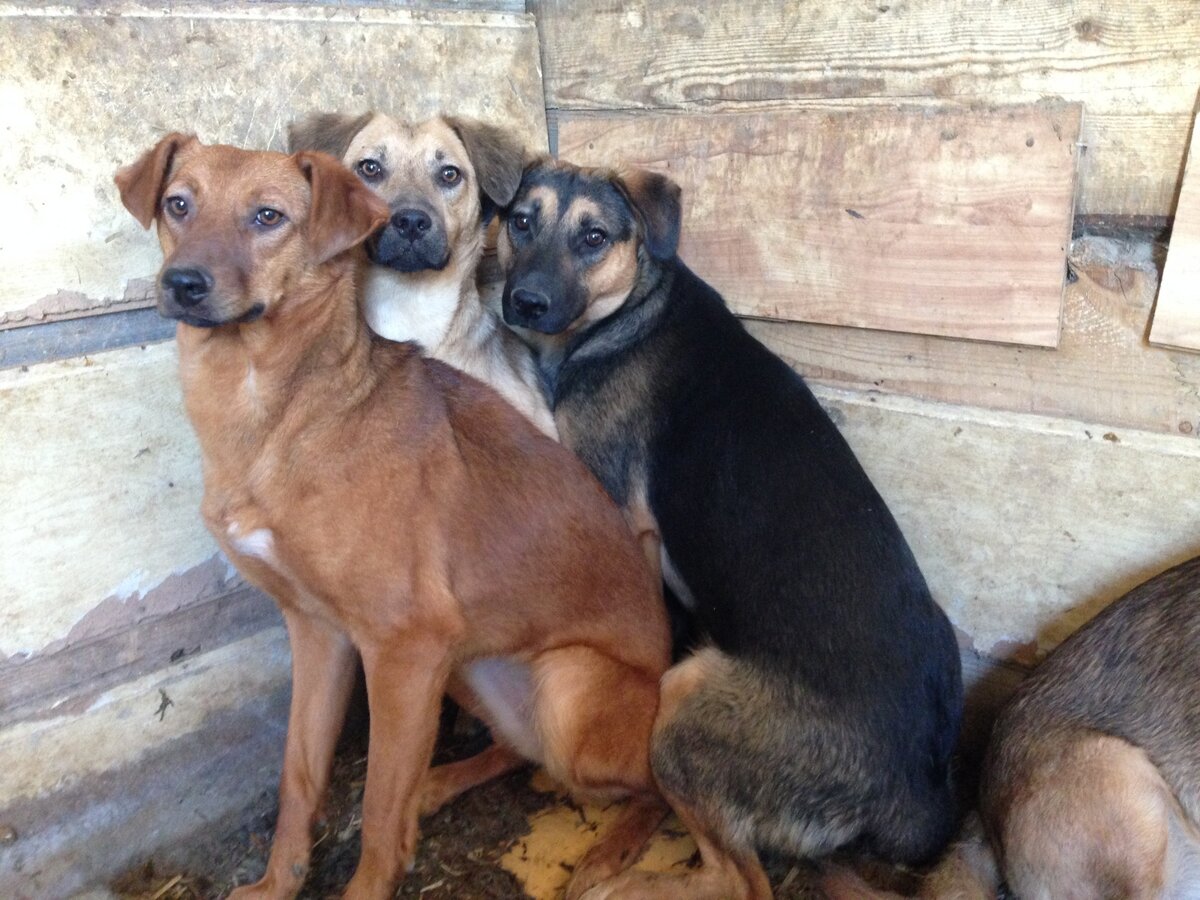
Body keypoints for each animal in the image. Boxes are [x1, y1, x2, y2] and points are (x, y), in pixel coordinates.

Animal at [496, 158, 964, 897]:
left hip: (686, 697)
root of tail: (910, 792)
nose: (524, 302)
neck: (629, 312)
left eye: (594, 237)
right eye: (520, 221)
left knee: (741, 881)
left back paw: (626, 884)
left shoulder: (616, 512)